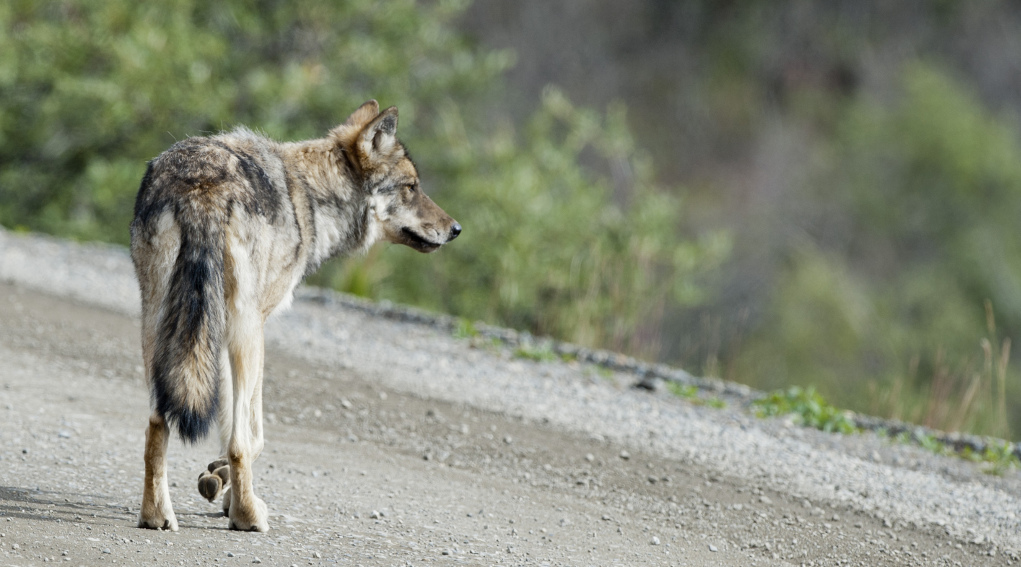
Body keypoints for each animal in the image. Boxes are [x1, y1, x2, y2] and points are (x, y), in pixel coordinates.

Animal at [130, 101, 459, 531]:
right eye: (412, 187)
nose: (456, 228)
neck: (311, 199)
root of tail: (200, 183)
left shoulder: (217, 334)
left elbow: (226, 421)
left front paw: (218, 481)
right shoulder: (250, 327)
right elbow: (251, 436)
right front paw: (226, 486)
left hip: (158, 321)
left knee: (157, 421)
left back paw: (156, 515)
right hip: (246, 332)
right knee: (239, 441)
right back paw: (249, 517)